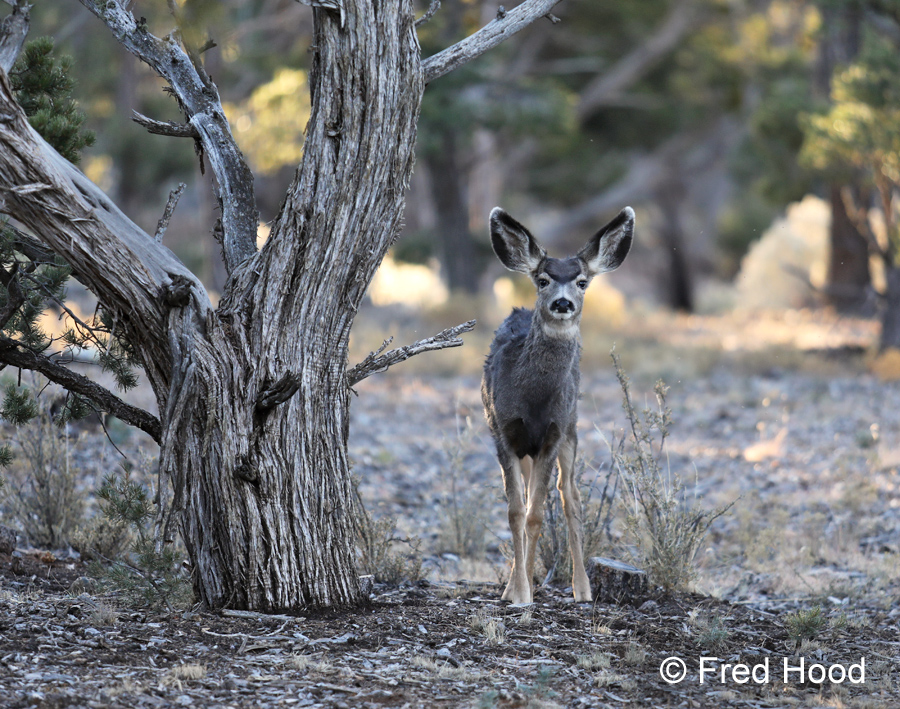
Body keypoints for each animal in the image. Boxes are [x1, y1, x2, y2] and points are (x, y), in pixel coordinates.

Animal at [482, 206, 634, 604]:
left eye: (581, 282)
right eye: (543, 280)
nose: (562, 303)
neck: (533, 401)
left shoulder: (552, 433)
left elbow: (536, 514)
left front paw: (525, 592)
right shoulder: (503, 431)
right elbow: (516, 512)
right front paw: (516, 591)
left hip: (572, 428)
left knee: (571, 498)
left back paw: (582, 588)